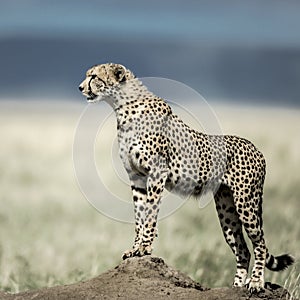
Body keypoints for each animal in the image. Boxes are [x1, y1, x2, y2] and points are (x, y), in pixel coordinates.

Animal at [78, 62, 294, 290]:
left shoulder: (157, 173)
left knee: (260, 242)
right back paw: (236, 286)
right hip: (226, 208)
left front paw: (145, 248)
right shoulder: (137, 178)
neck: (122, 106)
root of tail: (257, 149)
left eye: (94, 76)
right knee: (242, 248)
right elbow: (139, 216)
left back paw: (256, 282)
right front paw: (135, 249)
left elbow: (150, 214)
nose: (80, 87)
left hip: (246, 201)